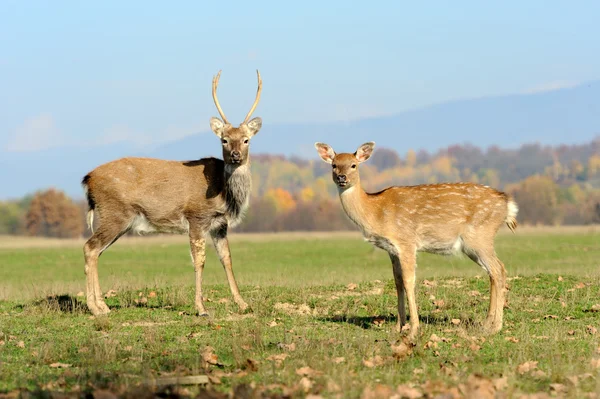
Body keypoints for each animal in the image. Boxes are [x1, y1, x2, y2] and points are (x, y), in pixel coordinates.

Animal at [80, 70, 262, 318]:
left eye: (246, 140)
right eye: (223, 140)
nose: (235, 155)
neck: (225, 195)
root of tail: (88, 179)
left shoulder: (220, 224)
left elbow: (227, 259)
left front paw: (243, 303)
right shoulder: (196, 217)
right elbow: (199, 261)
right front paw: (201, 308)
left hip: (119, 218)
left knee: (97, 250)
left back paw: (103, 306)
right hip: (115, 212)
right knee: (90, 247)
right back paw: (95, 307)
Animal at [316, 141, 516, 340]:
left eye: (353, 165)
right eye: (334, 165)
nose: (342, 177)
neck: (375, 212)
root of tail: (507, 204)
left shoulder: (407, 242)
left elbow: (408, 281)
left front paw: (413, 330)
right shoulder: (391, 249)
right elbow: (397, 281)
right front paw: (398, 326)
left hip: (479, 235)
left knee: (498, 269)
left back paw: (495, 327)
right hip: (475, 243)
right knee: (494, 272)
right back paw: (487, 324)